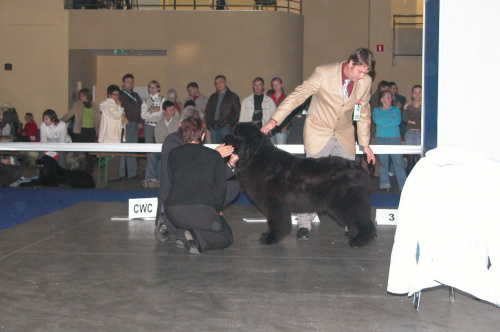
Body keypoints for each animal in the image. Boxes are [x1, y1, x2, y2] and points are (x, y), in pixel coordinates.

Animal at [227, 123, 376, 248]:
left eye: (235, 135)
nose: (225, 137)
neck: (257, 157)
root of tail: (362, 171)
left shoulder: (275, 204)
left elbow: (276, 222)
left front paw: (270, 238)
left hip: (347, 203)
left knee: (364, 222)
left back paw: (360, 240)